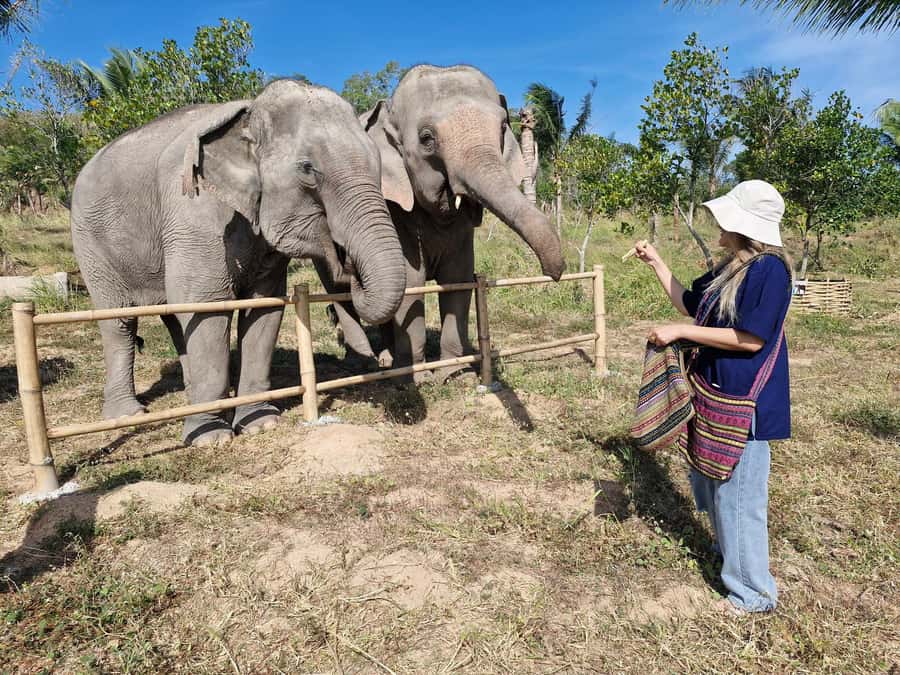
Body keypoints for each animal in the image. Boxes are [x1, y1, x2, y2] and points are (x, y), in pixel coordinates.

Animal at [71, 79, 406, 446]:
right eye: (308, 169)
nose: (346, 261)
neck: (249, 113)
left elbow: (264, 307)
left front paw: (261, 424)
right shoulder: (196, 213)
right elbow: (207, 305)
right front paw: (210, 439)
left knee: (175, 318)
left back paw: (190, 396)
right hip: (91, 245)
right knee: (119, 322)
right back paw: (128, 414)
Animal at [318, 65, 565, 382]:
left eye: (502, 128)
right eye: (426, 138)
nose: (552, 274)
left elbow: (458, 278)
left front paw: (455, 375)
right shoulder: (393, 208)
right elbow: (411, 283)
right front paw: (415, 379)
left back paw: (386, 360)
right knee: (338, 290)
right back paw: (365, 365)